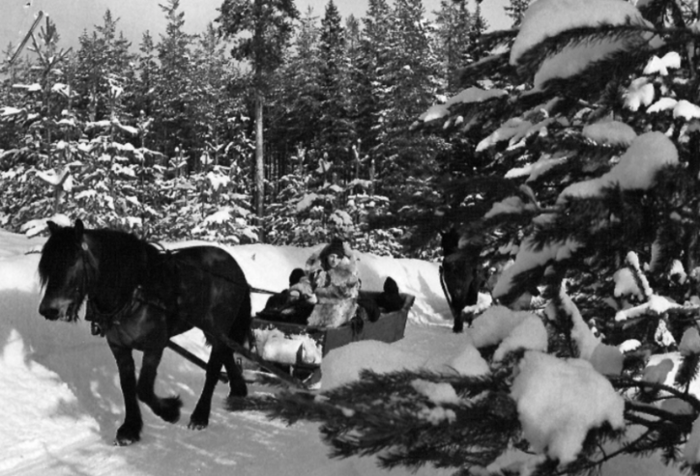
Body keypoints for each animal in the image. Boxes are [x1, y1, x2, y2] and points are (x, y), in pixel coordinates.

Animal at [37, 219, 252, 446]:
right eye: (47, 267)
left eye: (72, 262)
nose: (48, 310)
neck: (133, 291)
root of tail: (234, 265)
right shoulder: (119, 347)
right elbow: (128, 386)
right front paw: (130, 429)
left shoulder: (155, 345)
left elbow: (144, 389)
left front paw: (170, 411)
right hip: (213, 330)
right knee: (226, 354)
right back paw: (238, 389)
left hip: (217, 327)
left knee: (213, 368)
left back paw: (200, 416)